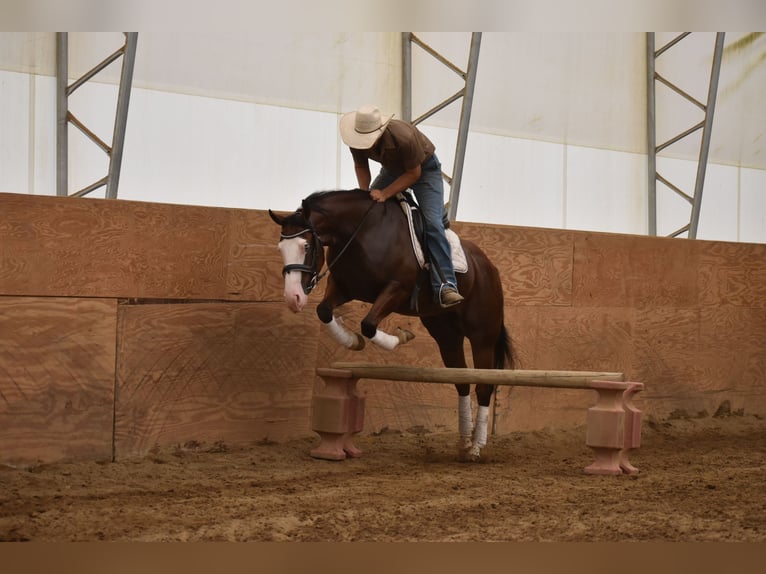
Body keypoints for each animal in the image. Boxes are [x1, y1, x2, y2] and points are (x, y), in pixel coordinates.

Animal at [269, 189, 512, 461]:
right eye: (281, 248)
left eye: (306, 246)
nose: (293, 298)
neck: (359, 232)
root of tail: (489, 266)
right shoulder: (343, 287)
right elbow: (325, 312)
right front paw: (352, 342)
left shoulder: (397, 290)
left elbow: (368, 324)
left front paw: (402, 336)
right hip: (447, 335)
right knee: (462, 381)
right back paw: (464, 442)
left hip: (483, 337)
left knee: (484, 385)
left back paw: (476, 446)